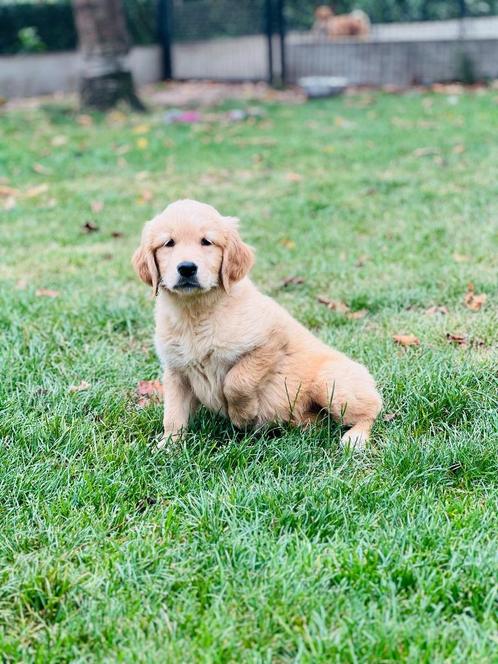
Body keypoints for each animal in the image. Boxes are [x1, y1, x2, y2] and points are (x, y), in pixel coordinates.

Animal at [132, 201, 382, 452]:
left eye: (206, 242)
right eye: (168, 243)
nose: (186, 268)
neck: (195, 312)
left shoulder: (271, 340)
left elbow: (237, 381)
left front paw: (242, 415)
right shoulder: (177, 371)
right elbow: (173, 413)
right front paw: (168, 445)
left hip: (331, 382)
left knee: (372, 409)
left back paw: (355, 437)